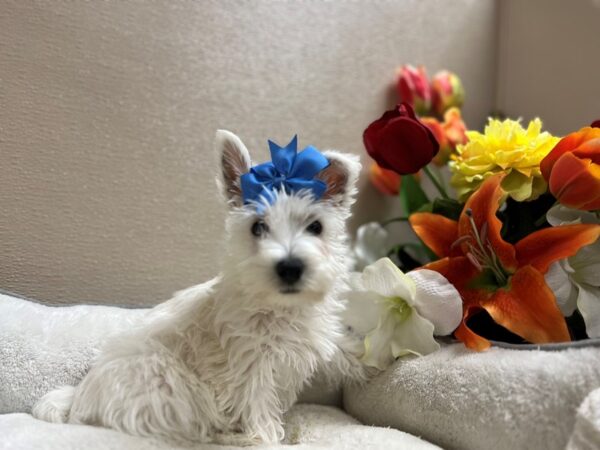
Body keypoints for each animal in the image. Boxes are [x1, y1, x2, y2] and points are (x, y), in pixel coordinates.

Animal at [34, 130, 370, 446]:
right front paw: (265, 439)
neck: (280, 307)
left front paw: (369, 362)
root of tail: (79, 396)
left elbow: (342, 347)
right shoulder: (250, 364)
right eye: (258, 227)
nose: (289, 267)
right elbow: (258, 407)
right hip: (166, 381)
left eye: (316, 226)